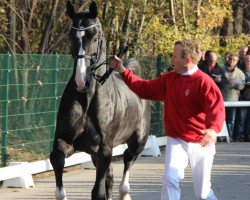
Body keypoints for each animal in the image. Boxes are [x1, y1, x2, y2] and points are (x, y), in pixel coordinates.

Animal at [48, 0, 150, 199]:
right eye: (71, 37)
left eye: (94, 38)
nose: (81, 81)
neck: (88, 100)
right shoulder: (66, 141)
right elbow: (57, 162)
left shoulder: (104, 149)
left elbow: (98, 192)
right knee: (110, 178)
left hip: (137, 143)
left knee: (126, 165)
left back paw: (124, 192)